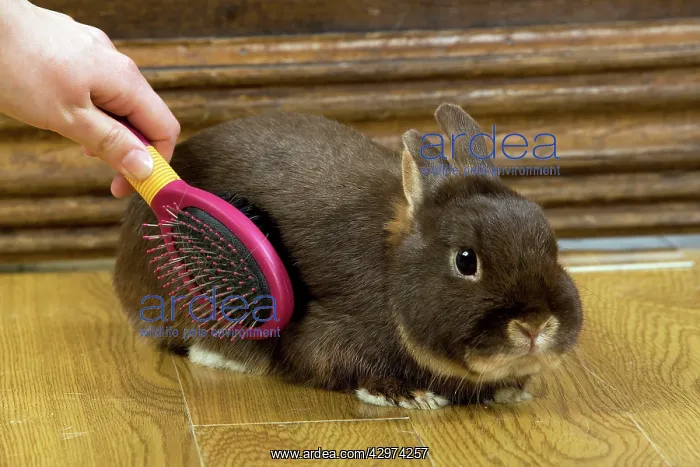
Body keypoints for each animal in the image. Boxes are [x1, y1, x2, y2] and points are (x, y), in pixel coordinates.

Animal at [113, 103, 583, 410]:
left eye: (551, 244)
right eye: (466, 260)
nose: (535, 325)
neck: (392, 272)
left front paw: (512, 390)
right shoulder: (329, 331)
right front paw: (406, 395)